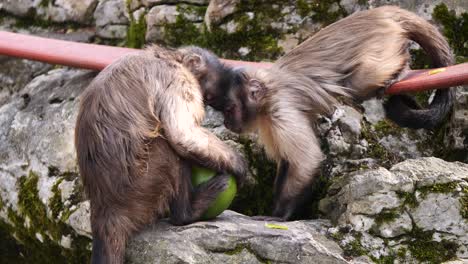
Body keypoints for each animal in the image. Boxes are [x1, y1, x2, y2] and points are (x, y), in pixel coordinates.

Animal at [75, 44, 247, 262]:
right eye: (206, 97)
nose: (205, 104)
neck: (167, 57)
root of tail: (106, 207)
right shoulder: (176, 77)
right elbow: (183, 135)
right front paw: (239, 165)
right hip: (142, 184)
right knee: (169, 147)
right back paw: (186, 214)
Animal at [207, 6, 454, 221]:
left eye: (229, 109)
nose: (227, 122)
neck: (268, 91)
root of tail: (379, 12)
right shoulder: (267, 119)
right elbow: (287, 162)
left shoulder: (280, 110)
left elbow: (306, 161)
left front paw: (280, 216)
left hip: (382, 43)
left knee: (360, 79)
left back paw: (401, 68)